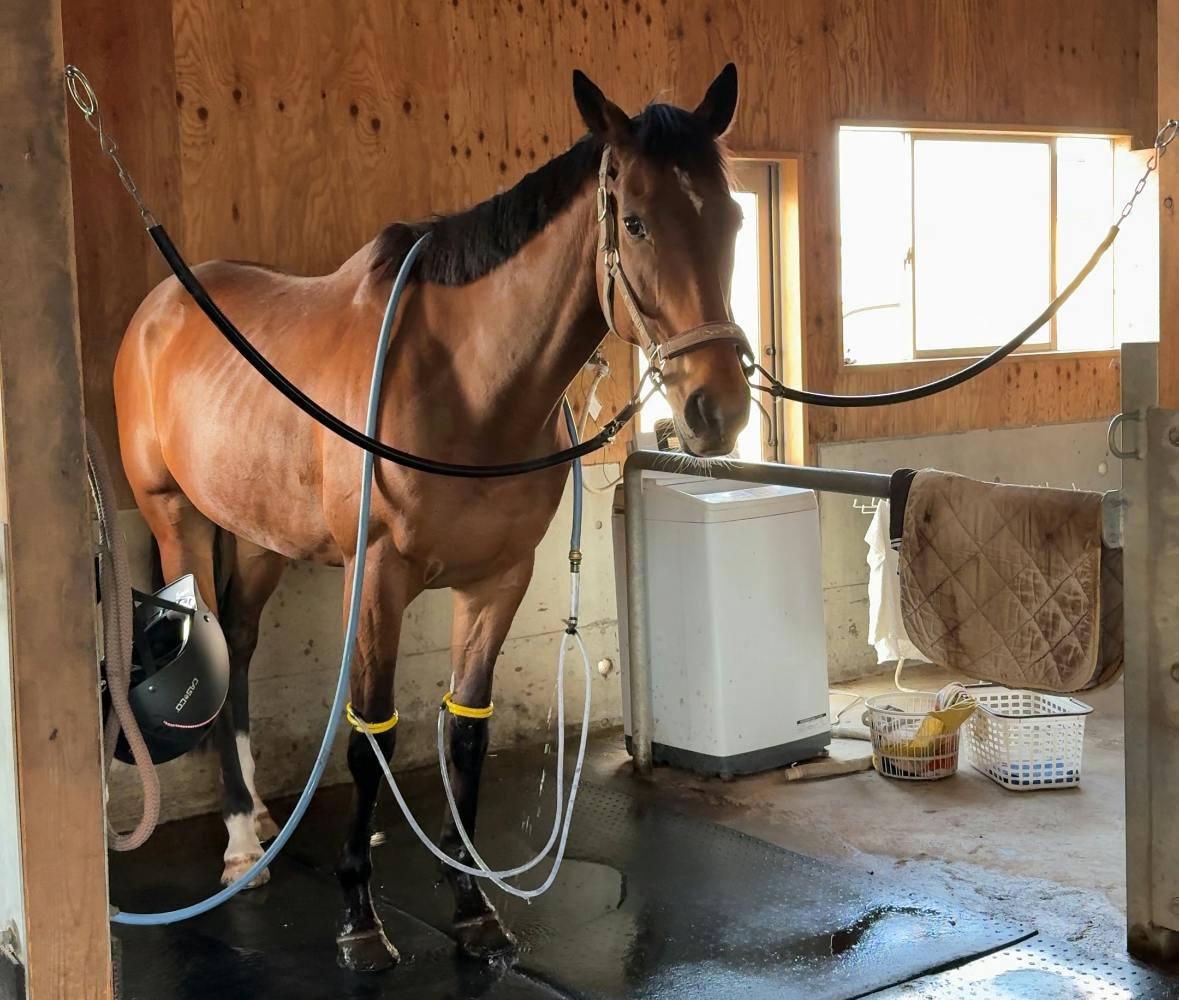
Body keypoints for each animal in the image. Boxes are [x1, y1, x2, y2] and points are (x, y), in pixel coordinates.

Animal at [113, 64, 750, 971]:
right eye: (633, 220)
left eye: (730, 218)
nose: (715, 409)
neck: (467, 385)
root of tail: (161, 304)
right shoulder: (377, 579)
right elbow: (371, 736)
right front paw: (359, 919)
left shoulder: (498, 581)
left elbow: (467, 735)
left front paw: (473, 903)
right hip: (177, 519)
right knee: (207, 643)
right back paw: (239, 843)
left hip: (263, 532)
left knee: (237, 636)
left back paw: (260, 817)